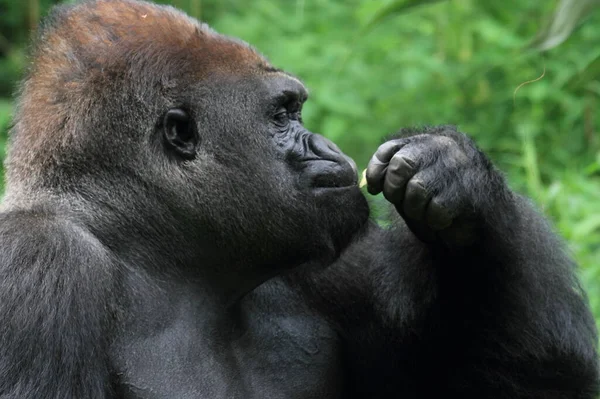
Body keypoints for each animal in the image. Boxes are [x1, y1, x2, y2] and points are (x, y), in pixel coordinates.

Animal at [0, 0, 596, 398]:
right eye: (284, 114)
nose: (329, 147)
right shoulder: (37, 263)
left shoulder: (326, 253)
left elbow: (522, 382)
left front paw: (458, 178)